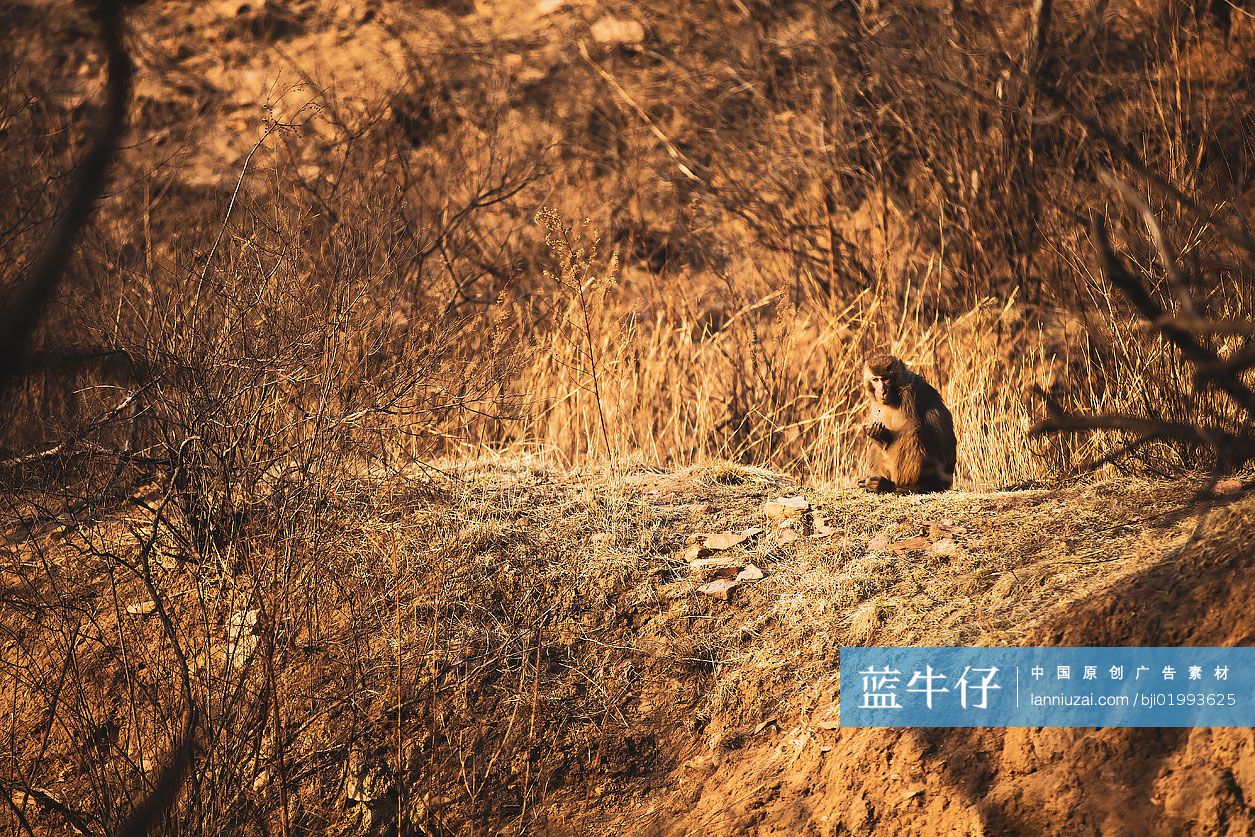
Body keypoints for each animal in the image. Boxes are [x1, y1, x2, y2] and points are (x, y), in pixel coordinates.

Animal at [858, 351, 953, 494]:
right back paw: (874, 484)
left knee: (912, 430)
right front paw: (877, 434)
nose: (882, 391)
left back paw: (897, 486)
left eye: (886, 379)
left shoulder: (910, 392)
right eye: (876, 379)